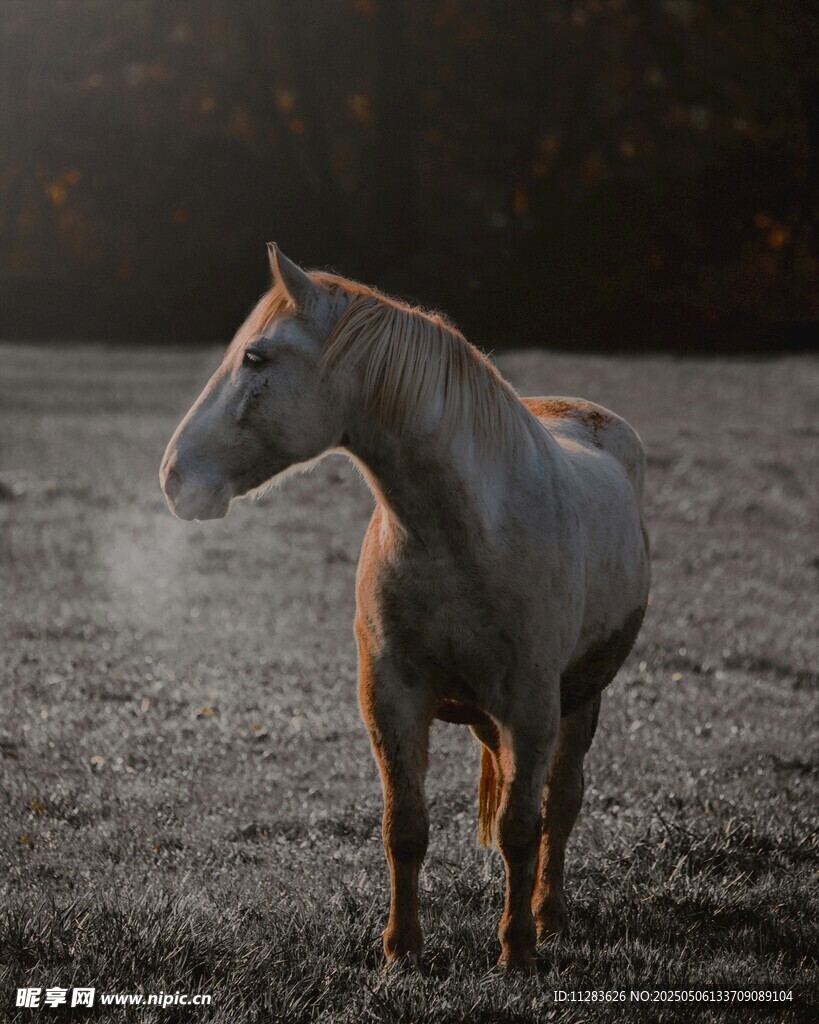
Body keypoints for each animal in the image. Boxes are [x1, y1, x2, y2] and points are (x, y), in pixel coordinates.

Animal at [160, 244, 650, 971]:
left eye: (255, 356)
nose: (173, 476)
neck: (464, 534)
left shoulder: (532, 705)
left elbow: (521, 828)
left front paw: (515, 953)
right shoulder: (390, 694)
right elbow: (405, 828)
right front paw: (401, 951)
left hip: (581, 698)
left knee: (561, 804)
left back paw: (550, 917)